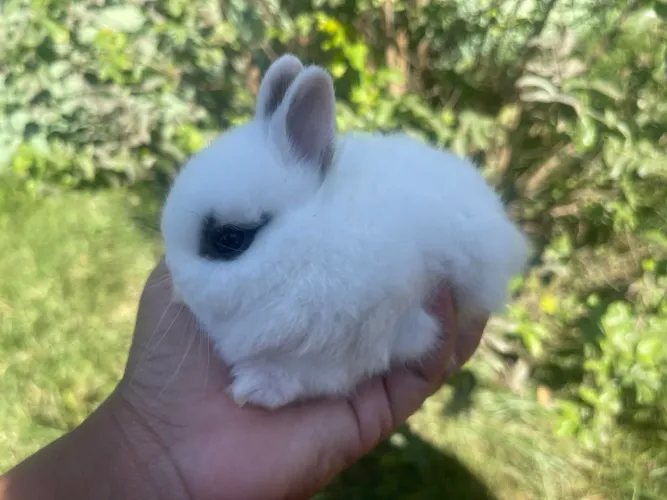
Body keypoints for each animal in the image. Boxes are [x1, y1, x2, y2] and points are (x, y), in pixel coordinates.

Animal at [160, 54, 530, 410]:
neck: (305, 244)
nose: (176, 283)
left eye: (229, 239)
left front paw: (257, 387)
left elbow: (321, 375)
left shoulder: (374, 331)